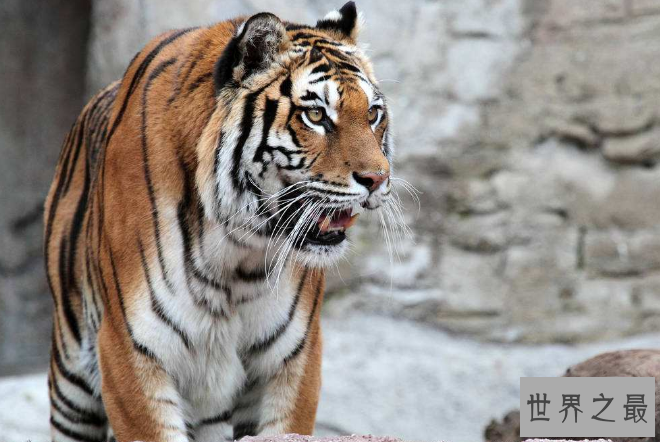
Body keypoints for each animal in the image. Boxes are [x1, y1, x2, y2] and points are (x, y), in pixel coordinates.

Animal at [43, 2, 400, 442]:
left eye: (373, 114)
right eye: (316, 115)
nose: (377, 179)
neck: (239, 252)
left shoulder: (292, 357)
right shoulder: (129, 349)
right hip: (72, 380)